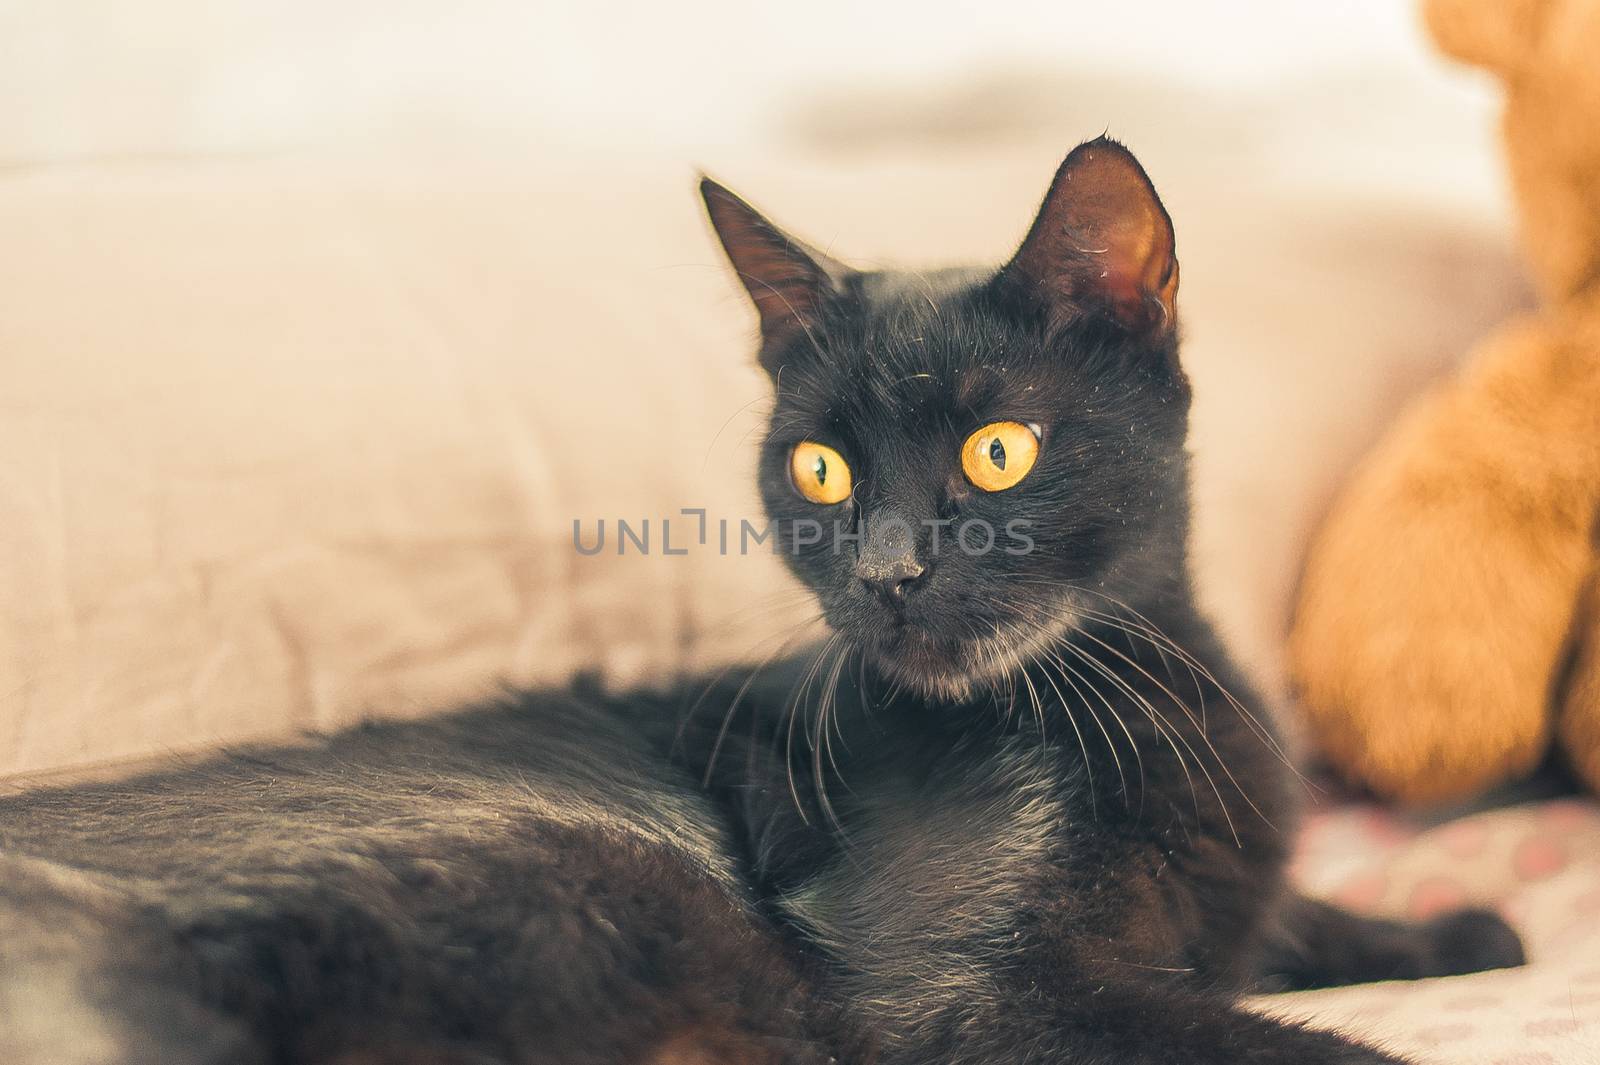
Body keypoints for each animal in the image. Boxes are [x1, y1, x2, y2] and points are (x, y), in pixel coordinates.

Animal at [0, 136, 1523, 1055]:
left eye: (999, 449)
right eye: (820, 466)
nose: (890, 567)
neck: (1138, 689)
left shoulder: (1208, 911)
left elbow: (1273, 925)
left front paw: (1448, 927)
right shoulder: (964, 993)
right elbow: (1274, 1040)